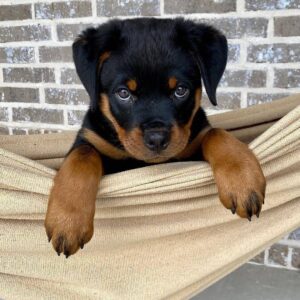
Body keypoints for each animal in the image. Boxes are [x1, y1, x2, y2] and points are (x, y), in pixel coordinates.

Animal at [44, 18, 264, 258]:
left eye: (180, 90)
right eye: (123, 93)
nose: (157, 138)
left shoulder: (193, 141)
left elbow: (216, 133)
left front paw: (243, 181)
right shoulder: (88, 139)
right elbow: (82, 157)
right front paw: (68, 222)